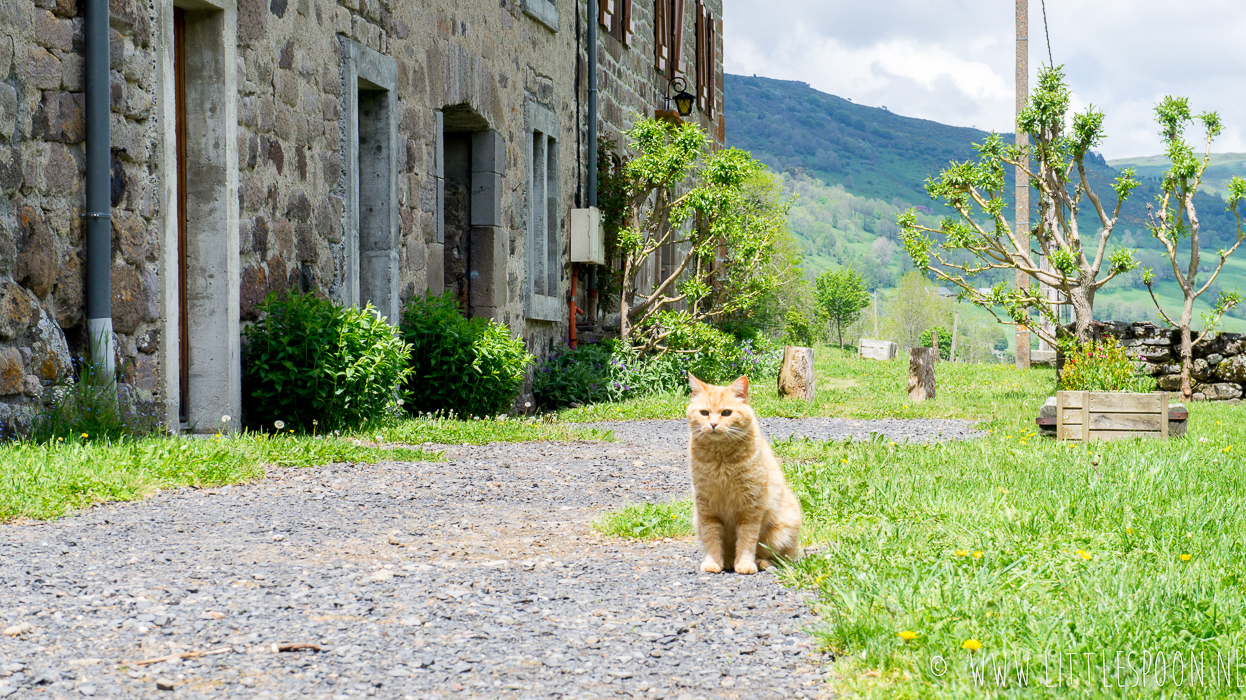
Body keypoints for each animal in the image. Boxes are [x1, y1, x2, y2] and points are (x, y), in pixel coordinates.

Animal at [687, 373, 802, 570]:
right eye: (704, 413)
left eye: (726, 413)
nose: (713, 424)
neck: (721, 459)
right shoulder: (707, 508)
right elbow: (712, 539)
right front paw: (713, 562)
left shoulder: (750, 507)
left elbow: (747, 539)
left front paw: (745, 564)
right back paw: (728, 561)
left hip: (783, 529)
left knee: (779, 557)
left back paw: (761, 562)